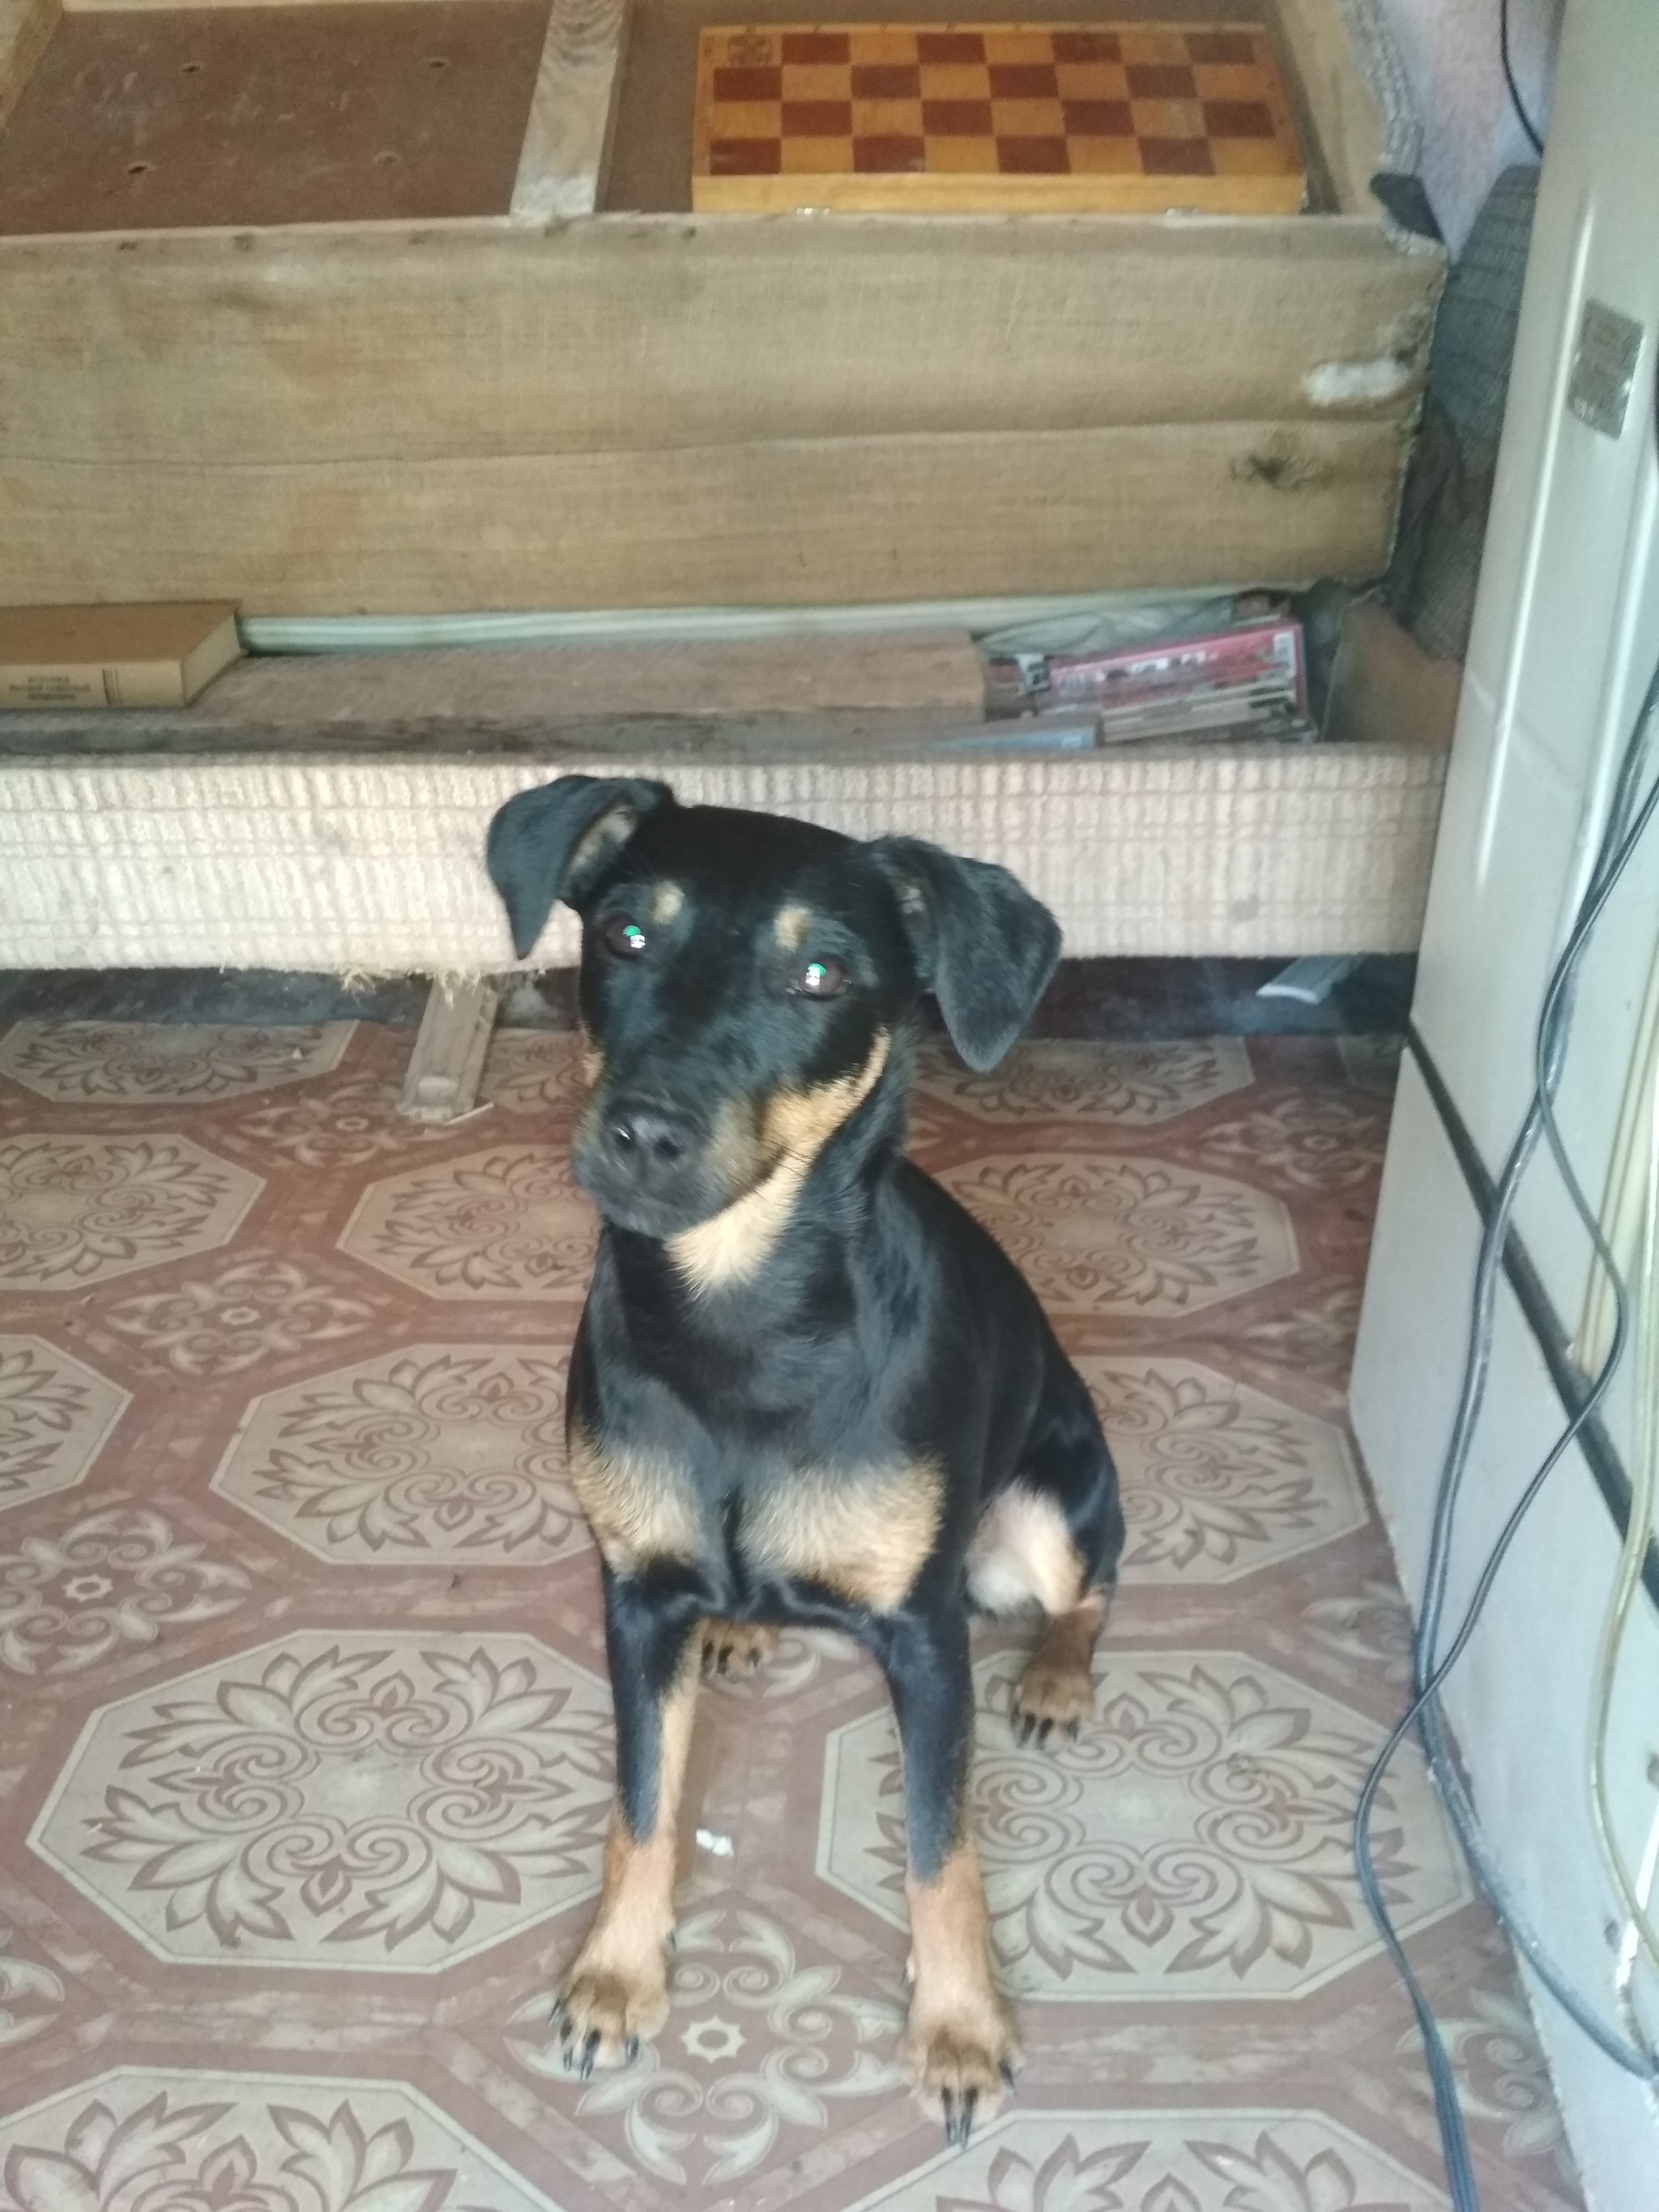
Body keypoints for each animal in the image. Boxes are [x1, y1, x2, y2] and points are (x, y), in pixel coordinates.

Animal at [486, 774, 1124, 2145]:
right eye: (623, 933)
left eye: (822, 971)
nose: (643, 1133)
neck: (737, 1317)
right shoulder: (635, 1596)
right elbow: (641, 1804)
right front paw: (616, 1972)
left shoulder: (927, 1636)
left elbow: (941, 1850)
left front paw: (959, 2027)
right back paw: (743, 1624)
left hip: (1057, 1501)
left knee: (1091, 1590)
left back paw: (1056, 1675)